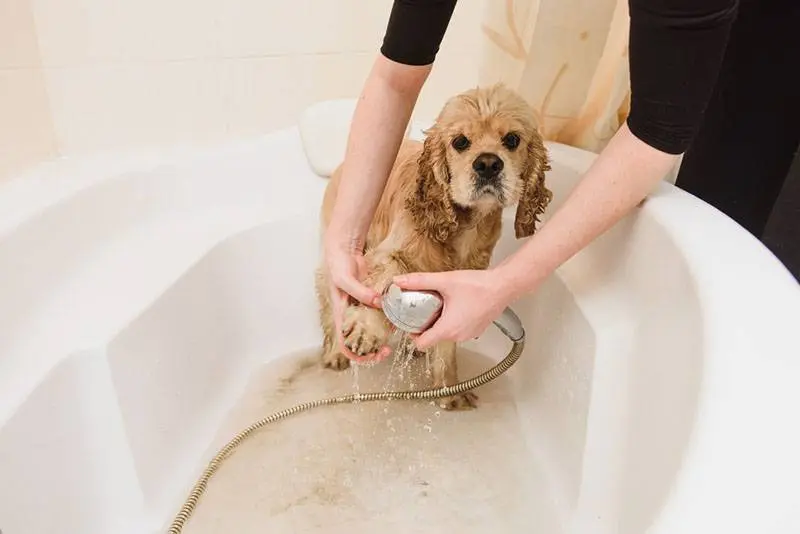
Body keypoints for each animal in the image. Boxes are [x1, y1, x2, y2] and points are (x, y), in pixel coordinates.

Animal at [312, 85, 552, 410]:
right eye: (460, 142)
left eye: (512, 139)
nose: (488, 164)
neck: (462, 227)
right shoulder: (386, 253)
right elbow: (385, 277)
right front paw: (366, 330)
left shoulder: (463, 287)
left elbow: (449, 339)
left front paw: (450, 390)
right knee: (329, 301)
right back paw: (336, 353)